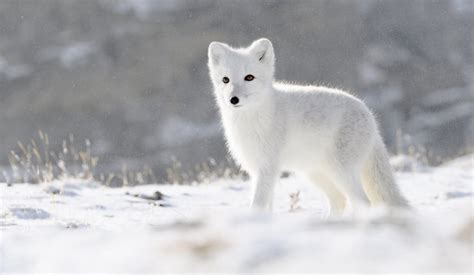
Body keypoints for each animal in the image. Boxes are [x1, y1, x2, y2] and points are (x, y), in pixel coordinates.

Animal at [207, 38, 408, 216]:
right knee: (340, 200)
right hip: (316, 173)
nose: (233, 99)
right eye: (225, 80)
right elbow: (266, 208)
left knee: (363, 203)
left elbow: (257, 205)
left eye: (249, 77)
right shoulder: (257, 170)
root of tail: (369, 114)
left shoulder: (268, 168)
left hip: (341, 172)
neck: (251, 119)